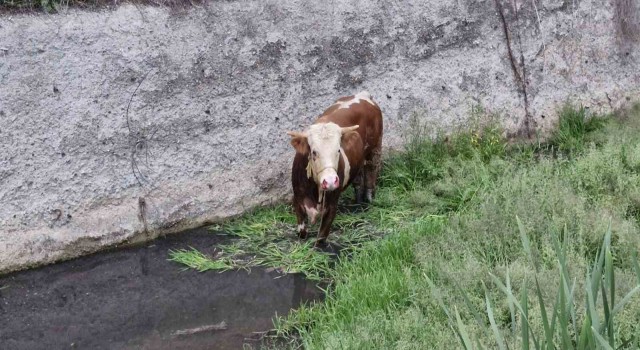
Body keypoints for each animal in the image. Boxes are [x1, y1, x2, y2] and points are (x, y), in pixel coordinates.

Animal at [286, 91, 384, 247]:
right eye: (314, 152)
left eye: (338, 150)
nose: (330, 181)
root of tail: (362, 95)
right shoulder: (298, 199)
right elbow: (302, 232)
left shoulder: (332, 205)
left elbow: (320, 239)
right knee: (358, 178)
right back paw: (357, 201)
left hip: (375, 148)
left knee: (371, 171)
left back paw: (368, 198)